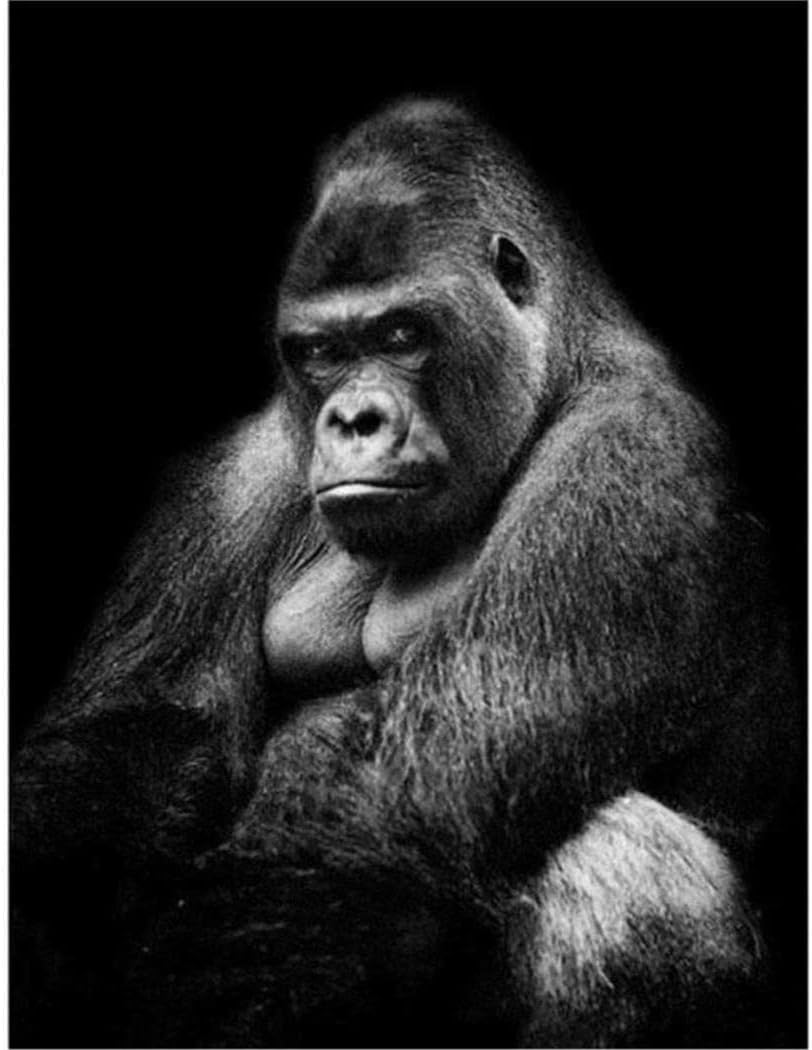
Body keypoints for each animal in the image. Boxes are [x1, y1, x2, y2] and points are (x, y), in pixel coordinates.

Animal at [11, 98, 798, 1048]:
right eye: (319, 352)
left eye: (400, 334)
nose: (353, 419)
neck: (566, 356)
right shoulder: (241, 471)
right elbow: (136, 743)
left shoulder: (633, 460)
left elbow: (394, 791)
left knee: (619, 861)